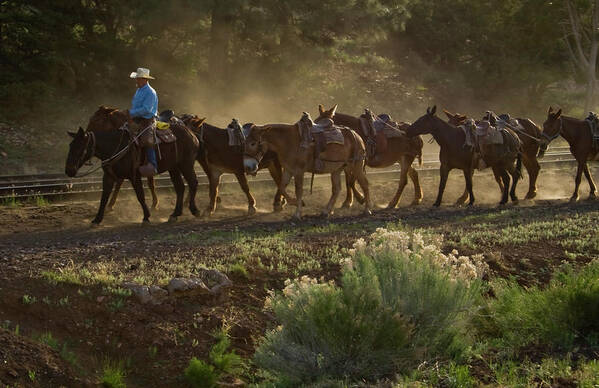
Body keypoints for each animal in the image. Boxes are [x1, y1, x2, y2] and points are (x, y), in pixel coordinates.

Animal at [66, 106, 199, 224]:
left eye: (80, 148)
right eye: (71, 146)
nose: (68, 170)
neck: (117, 145)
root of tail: (191, 134)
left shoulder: (134, 176)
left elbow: (140, 195)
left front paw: (146, 216)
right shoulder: (108, 176)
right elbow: (104, 197)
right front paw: (97, 219)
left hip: (186, 164)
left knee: (193, 182)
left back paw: (194, 210)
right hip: (174, 168)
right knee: (180, 187)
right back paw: (175, 214)